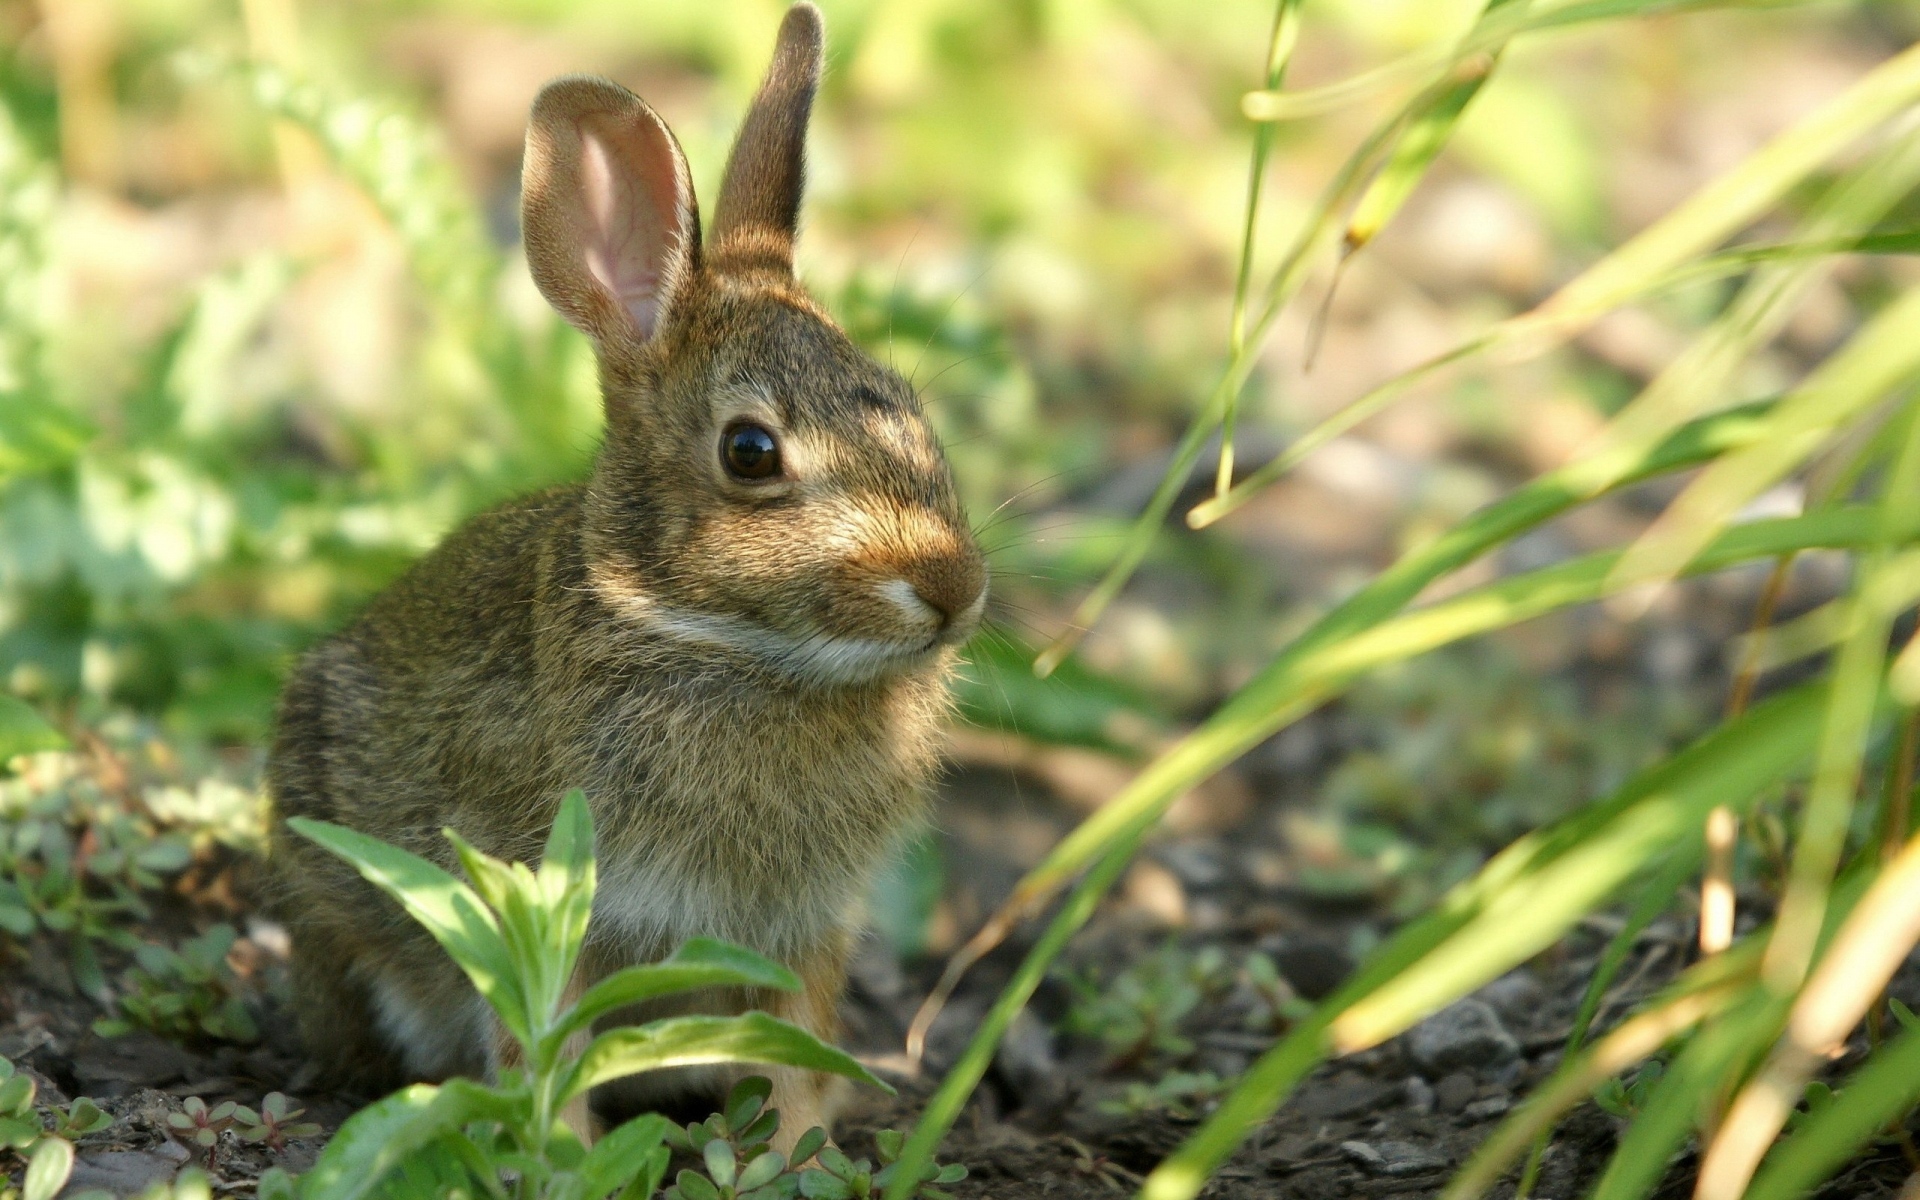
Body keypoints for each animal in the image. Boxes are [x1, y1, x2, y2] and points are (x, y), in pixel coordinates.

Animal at [264, 1, 985, 1147]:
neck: (719, 640)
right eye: (750, 453)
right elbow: (546, 1045)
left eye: (912, 407)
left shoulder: (802, 931)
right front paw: (563, 1150)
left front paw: (798, 1154)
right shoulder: (542, 895)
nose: (955, 588)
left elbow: (795, 1048)